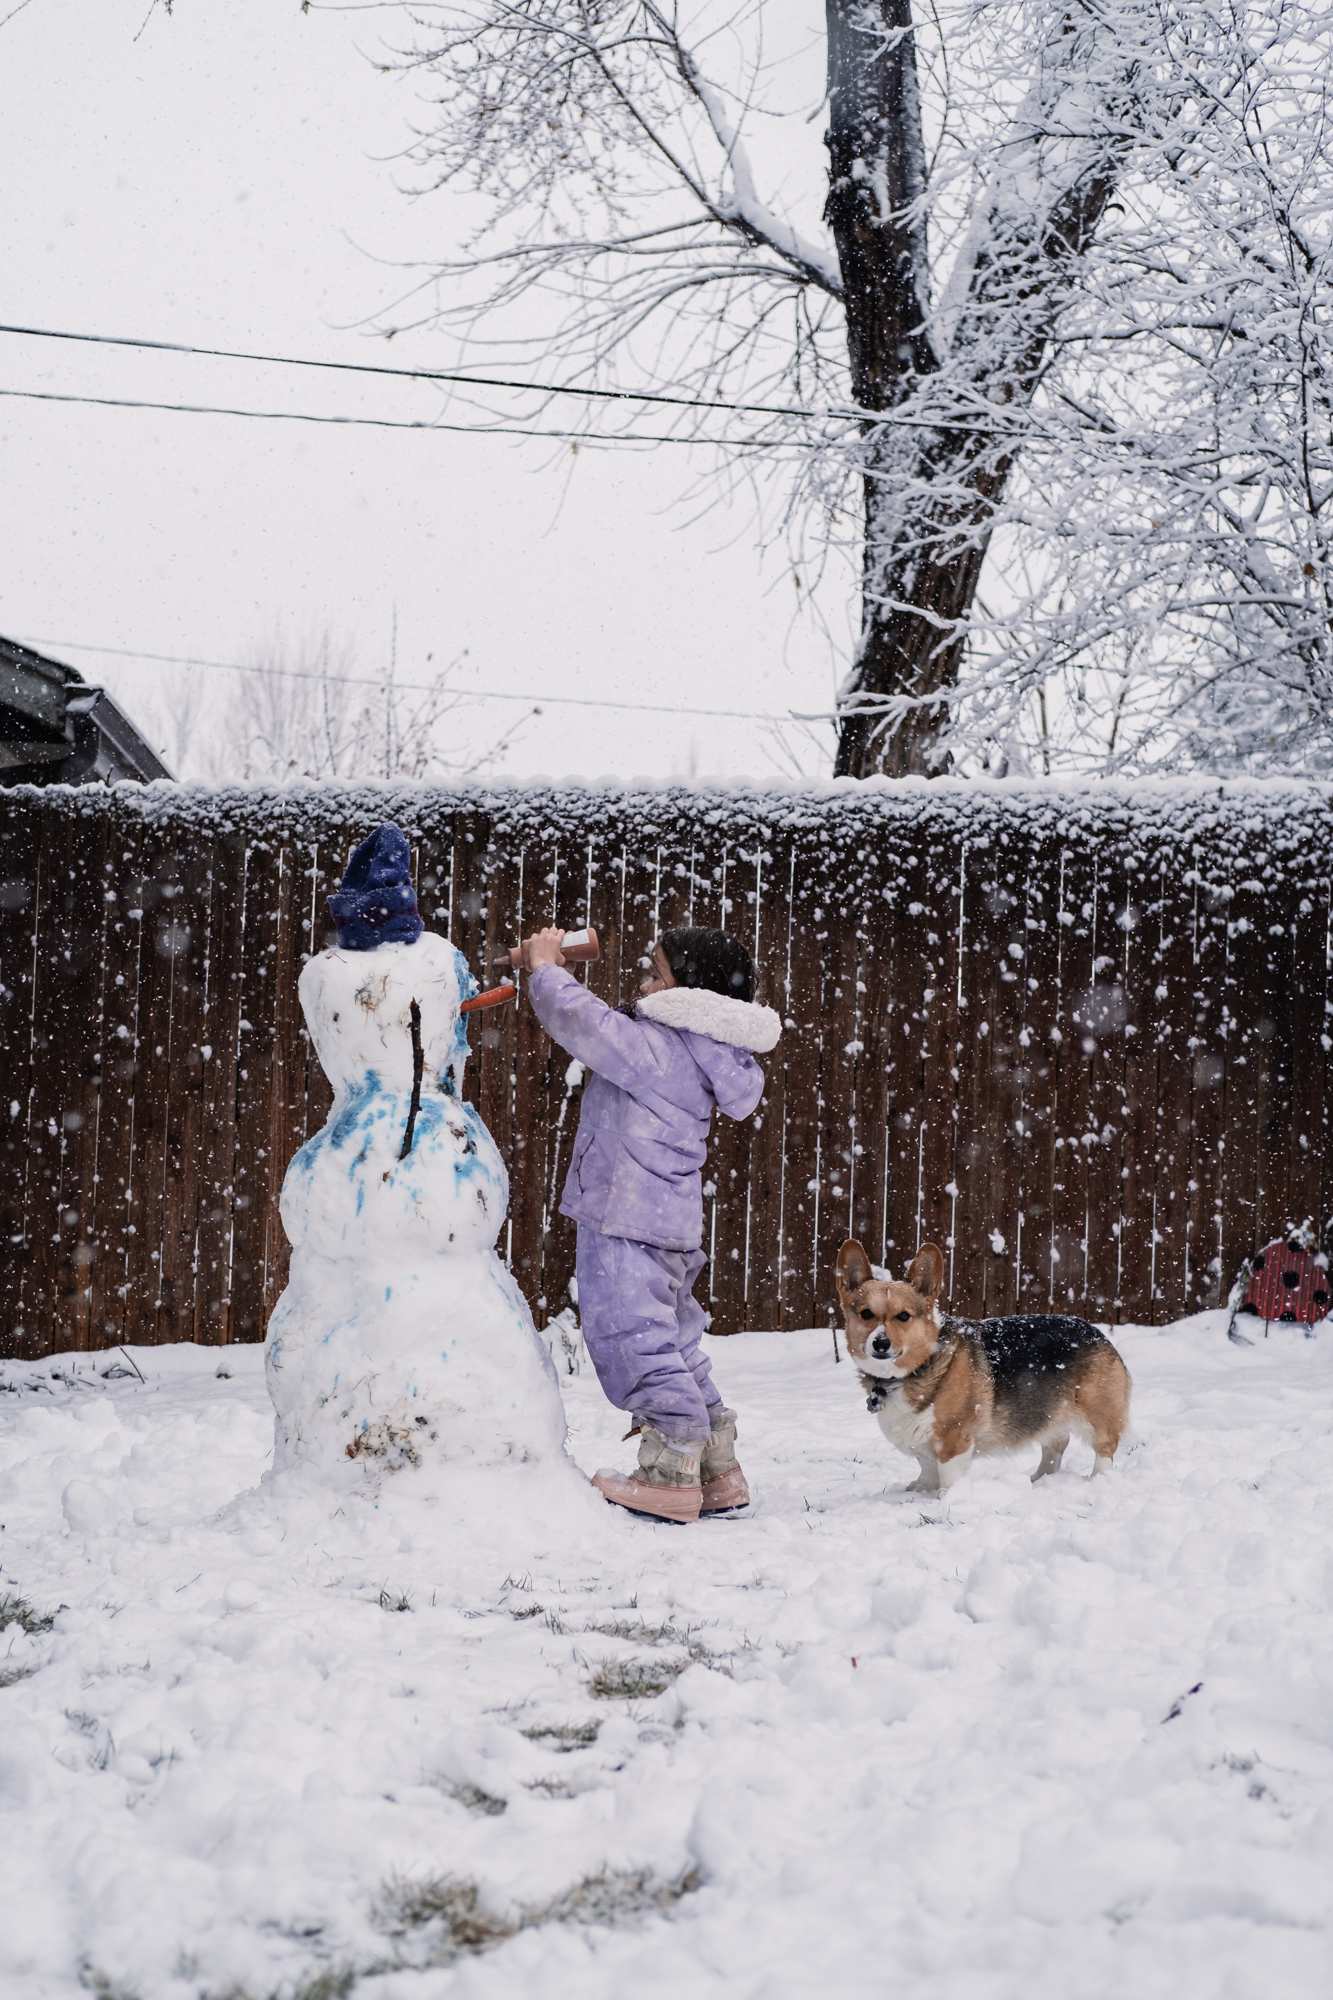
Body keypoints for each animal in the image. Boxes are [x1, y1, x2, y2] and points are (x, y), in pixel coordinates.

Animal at [836, 1232, 1128, 1504]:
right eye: (866, 1314)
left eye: (904, 1316)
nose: (881, 1343)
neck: (912, 1371)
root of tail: (1097, 1332)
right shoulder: (922, 1444)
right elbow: (926, 1467)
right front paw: (919, 1490)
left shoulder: (954, 1438)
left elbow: (948, 1474)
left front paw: (946, 1499)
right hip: (1049, 1415)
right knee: (1055, 1447)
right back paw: (1038, 1480)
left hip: (1098, 1415)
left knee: (1104, 1450)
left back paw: (1098, 1480)